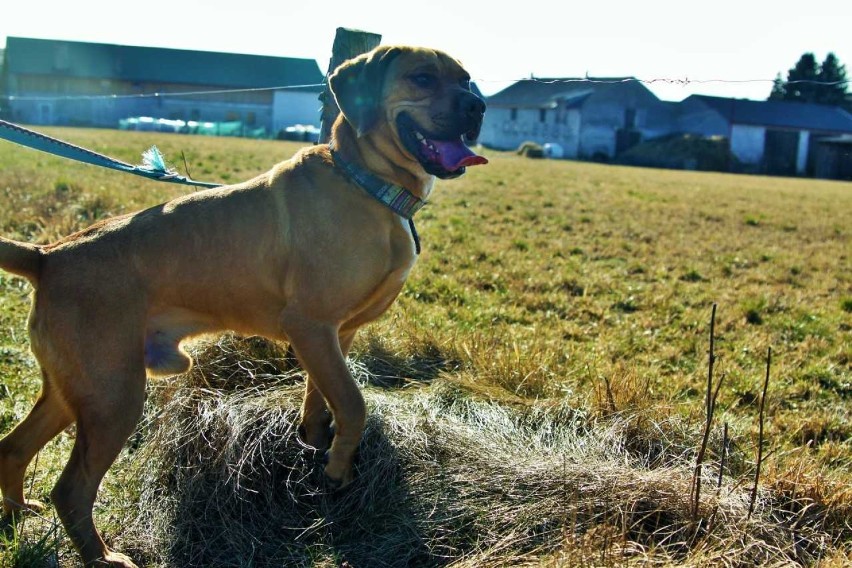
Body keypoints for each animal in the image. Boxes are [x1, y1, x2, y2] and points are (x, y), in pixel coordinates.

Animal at [0, 46, 486, 564]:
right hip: (113, 397)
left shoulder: (334, 335)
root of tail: (47, 256)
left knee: (13, 448)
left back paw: (16, 514)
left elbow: (321, 398)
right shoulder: (310, 325)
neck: (366, 183)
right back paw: (102, 556)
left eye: (466, 79)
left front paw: (316, 445)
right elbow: (353, 405)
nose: (478, 107)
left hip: (74, 391)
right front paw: (337, 470)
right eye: (422, 78)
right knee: (71, 489)